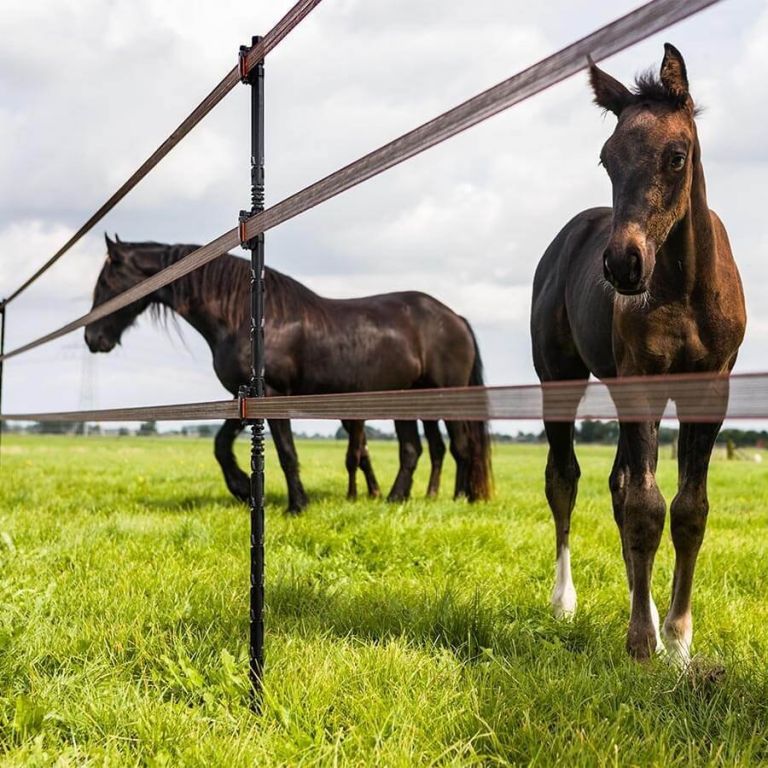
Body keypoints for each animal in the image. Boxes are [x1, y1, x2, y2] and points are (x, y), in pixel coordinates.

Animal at [84, 234, 492, 510]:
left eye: (106, 282)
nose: (92, 338)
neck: (246, 318)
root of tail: (454, 317)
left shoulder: (273, 395)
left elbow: (285, 452)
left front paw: (297, 505)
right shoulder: (244, 396)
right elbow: (221, 445)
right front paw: (241, 487)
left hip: (445, 396)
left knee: (460, 446)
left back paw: (458, 499)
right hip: (403, 398)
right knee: (413, 449)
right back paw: (395, 500)